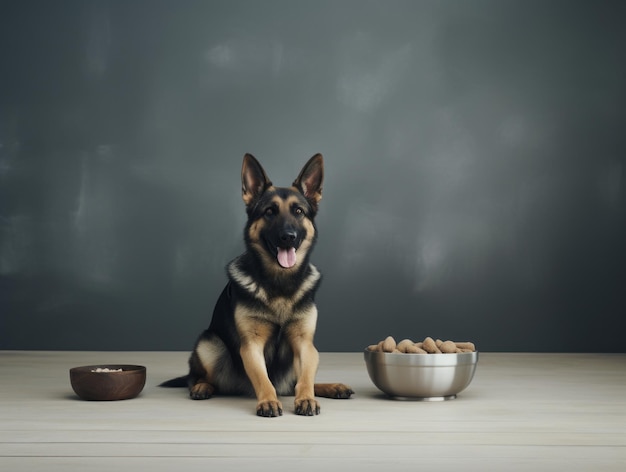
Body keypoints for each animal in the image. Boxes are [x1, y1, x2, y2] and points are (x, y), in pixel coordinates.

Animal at [160, 153, 352, 414]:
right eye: (269, 211)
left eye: (299, 211)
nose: (288, 237)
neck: (279, 283)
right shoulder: (251, 346)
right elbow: (263, 378)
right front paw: (269, 401)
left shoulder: (304, 344)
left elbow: (305, 380)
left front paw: (307, 398)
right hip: (210, 344)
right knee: (201, 377)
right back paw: (202, 387)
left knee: (296, 383)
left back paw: (332, 387)